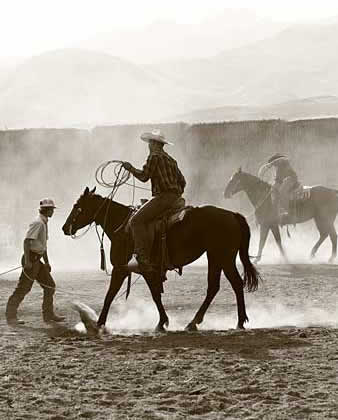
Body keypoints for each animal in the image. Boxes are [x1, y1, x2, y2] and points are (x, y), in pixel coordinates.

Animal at [62, 187, 260, 332]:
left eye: (77, 205)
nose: (65, 228)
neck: (123, 228)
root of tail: (233, 214)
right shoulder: (144, 270)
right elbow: (155, 293)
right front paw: (162, 322)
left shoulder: (122, 268)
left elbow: (111, 294)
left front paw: (98, 324)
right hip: (216, 257)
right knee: (218, 286)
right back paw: (199, 323)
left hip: (223, 257)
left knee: (233, 284)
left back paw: (236, 322)